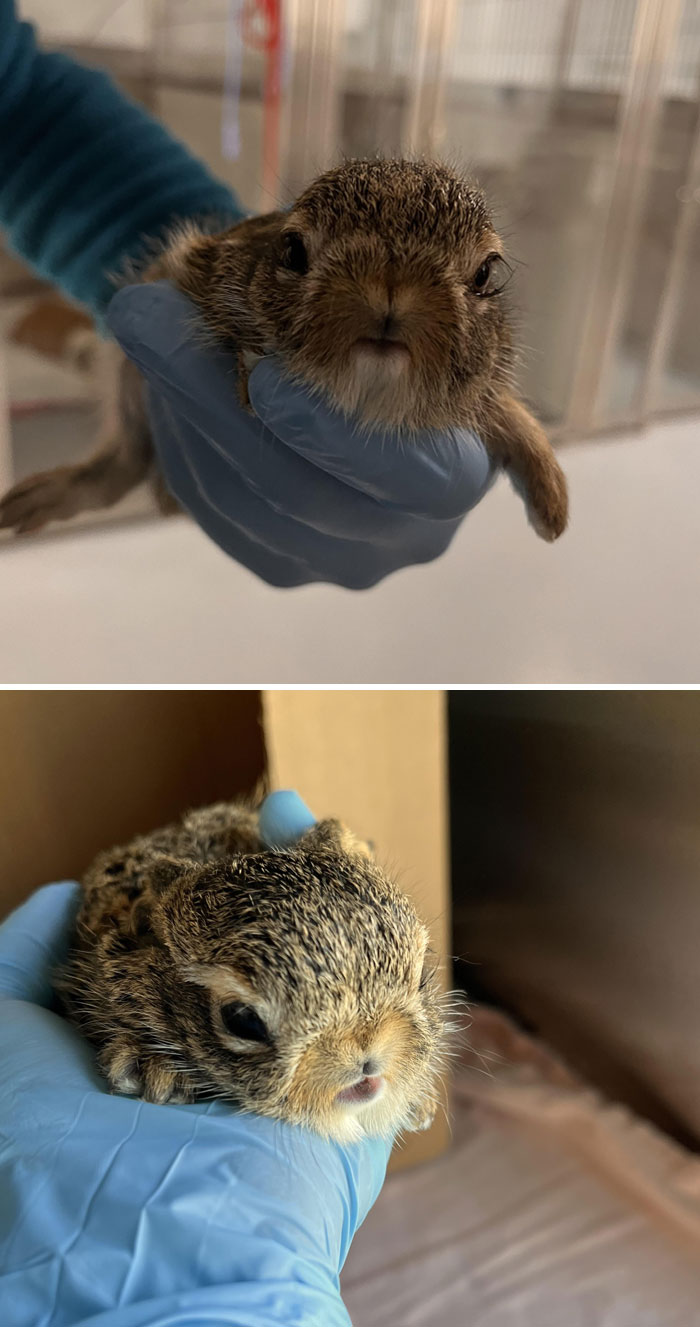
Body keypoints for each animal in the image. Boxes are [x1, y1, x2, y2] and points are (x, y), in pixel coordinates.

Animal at [0, 158, 567, 541]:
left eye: (486, 273)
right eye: (292, 250)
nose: (390, 287)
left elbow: (513, 418)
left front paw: (553, 507)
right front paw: (251, 369)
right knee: (119, 465)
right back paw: (31, 500)